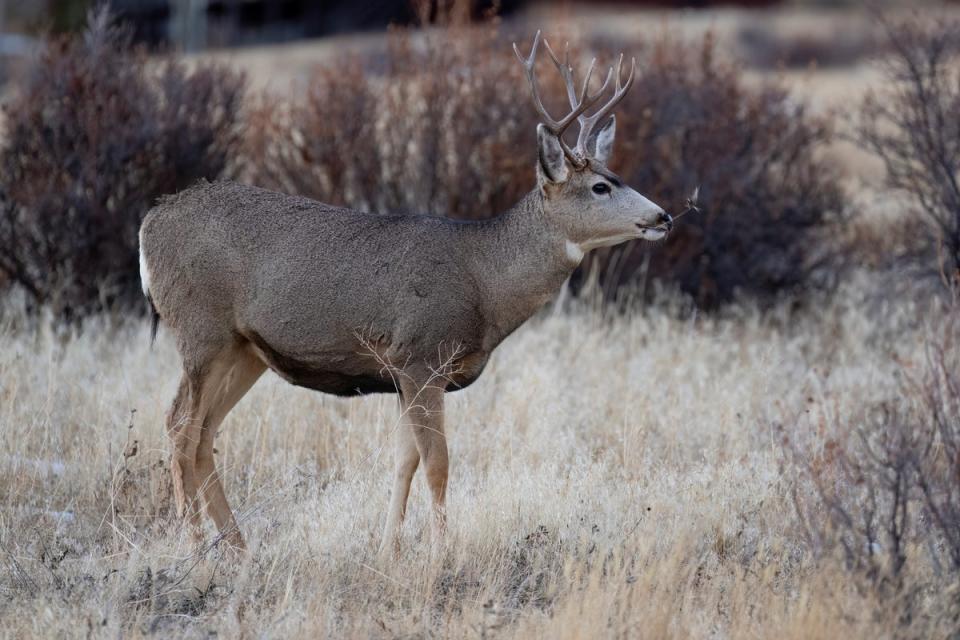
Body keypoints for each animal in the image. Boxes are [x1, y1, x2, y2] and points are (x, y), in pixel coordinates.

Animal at [137, 31, 676, 556]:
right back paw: (193, 544)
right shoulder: (421, 356)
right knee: (179, 425)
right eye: (602, 187)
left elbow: (404, 462)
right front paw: (441, 554)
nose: (664, 216)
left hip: (244, 349)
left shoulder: (401, 374)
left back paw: (238, 547)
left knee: (205, 433)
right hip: (200, 328)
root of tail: (148, 223)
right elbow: (438, 463)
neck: (485, 279)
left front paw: (386, 550)